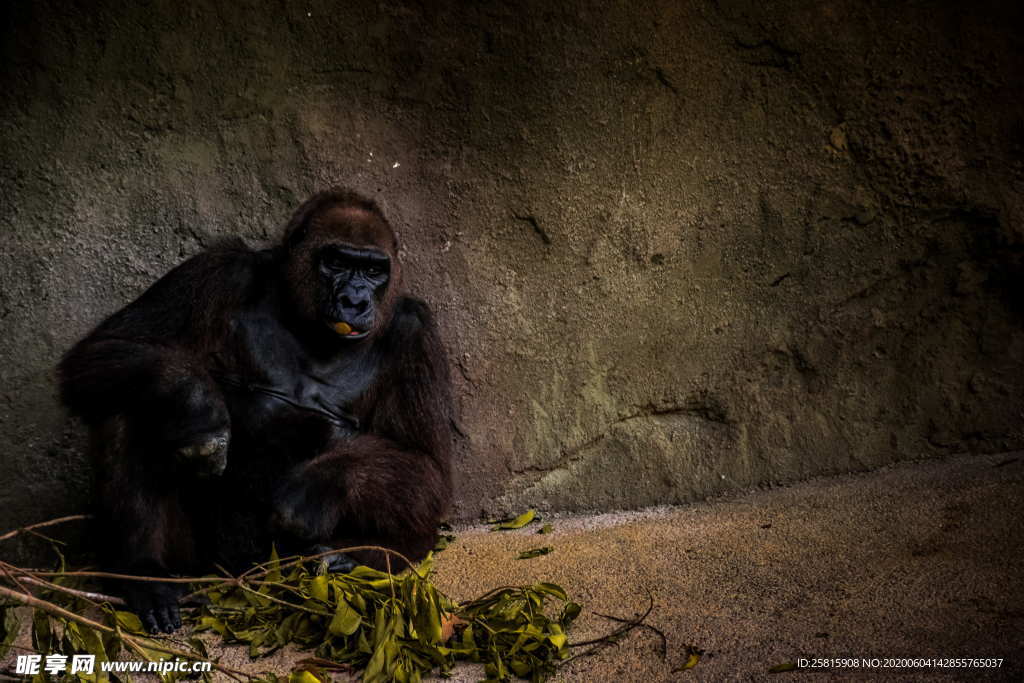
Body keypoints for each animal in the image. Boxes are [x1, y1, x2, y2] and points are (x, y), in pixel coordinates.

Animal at [57, 188, 452, 634]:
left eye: (373, 270)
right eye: (335, 262)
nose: (354, 301)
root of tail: (242, 580)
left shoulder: (415, 332)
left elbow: (426, 467)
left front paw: (317, 488)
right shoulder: (219, 269)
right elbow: (107, 347)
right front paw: (198, 404)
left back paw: (349, 558)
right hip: (196, 564)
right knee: (129, 403)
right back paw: (143, 574)